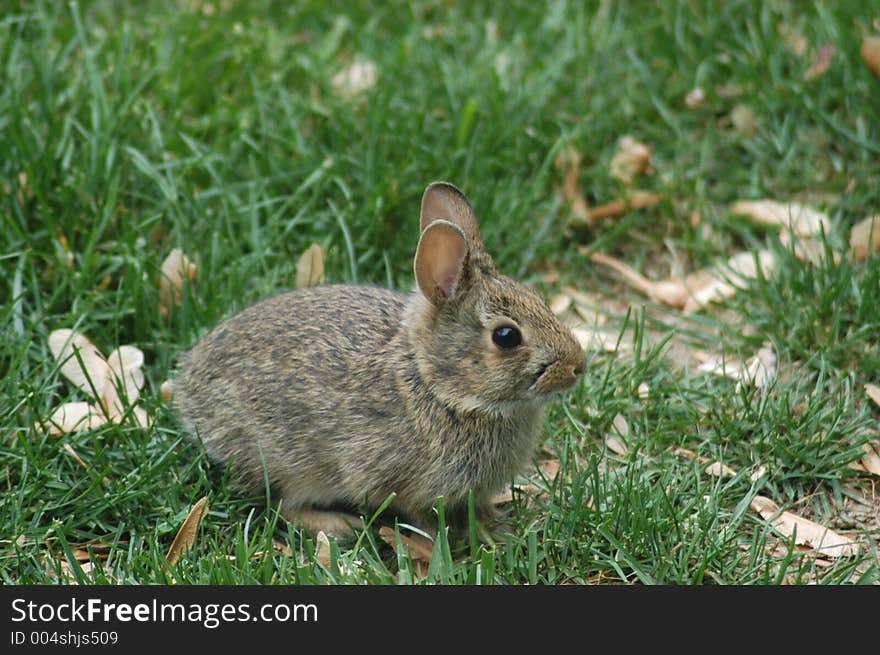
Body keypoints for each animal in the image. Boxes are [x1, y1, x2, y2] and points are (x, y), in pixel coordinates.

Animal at [174, 181, 584, 540]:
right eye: (506, 336)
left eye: (539, 299)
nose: (577, 367)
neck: (438, 387)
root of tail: (188, 383)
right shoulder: (391, 478)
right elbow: (413, 511)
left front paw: (496, 528)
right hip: (287, 462)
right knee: (281, 506)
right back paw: (340, 525)